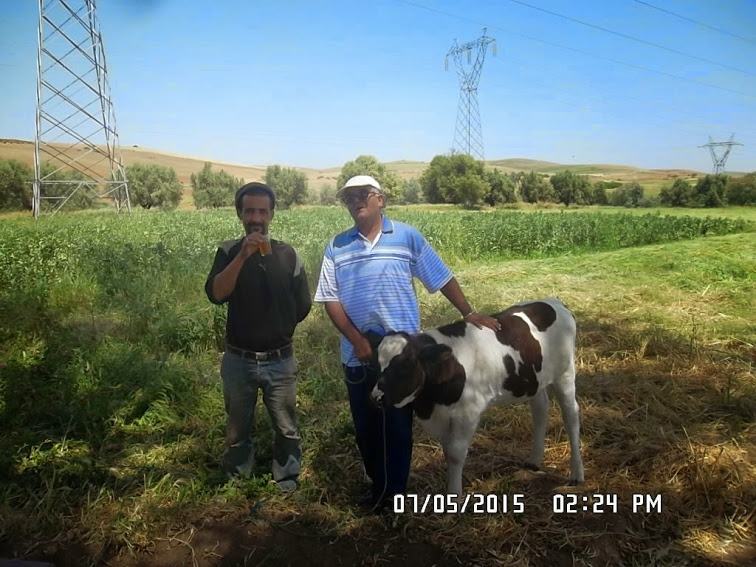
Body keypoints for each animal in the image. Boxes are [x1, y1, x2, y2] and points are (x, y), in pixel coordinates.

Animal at [370, 300, 588, 494]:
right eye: (375, 363)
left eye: (405, 365)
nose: (375, 398)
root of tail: (556, 303)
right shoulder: (442, 416)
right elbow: (447, 451)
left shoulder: (468, 412)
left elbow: (455, 453)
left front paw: (454, 495)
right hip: (535, 380)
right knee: (541, 409)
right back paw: (534, 460)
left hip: (565, 372)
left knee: (571, 416)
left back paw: (577, 473)